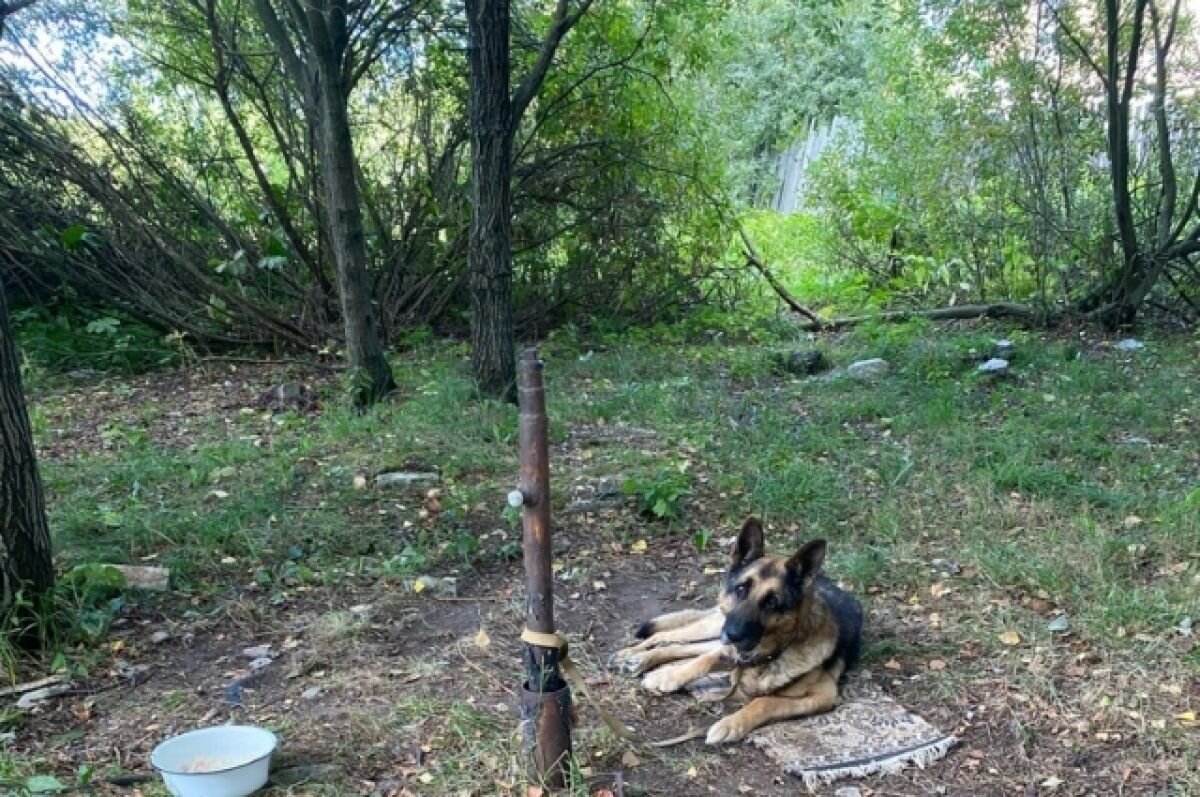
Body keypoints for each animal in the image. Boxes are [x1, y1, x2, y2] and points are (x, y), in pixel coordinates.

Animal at [614, 520, 859, 744]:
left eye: (772, 602)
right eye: (741, 589)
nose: (732, 635)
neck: (769, 655)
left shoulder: (825, 695)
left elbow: (765, 701)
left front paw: (730, 724)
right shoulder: (730, 651)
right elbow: (703, 661)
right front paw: (668, 676)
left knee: (682, 647)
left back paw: (639, 660)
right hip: (712, 628)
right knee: (667, 637)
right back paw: (630, 656)